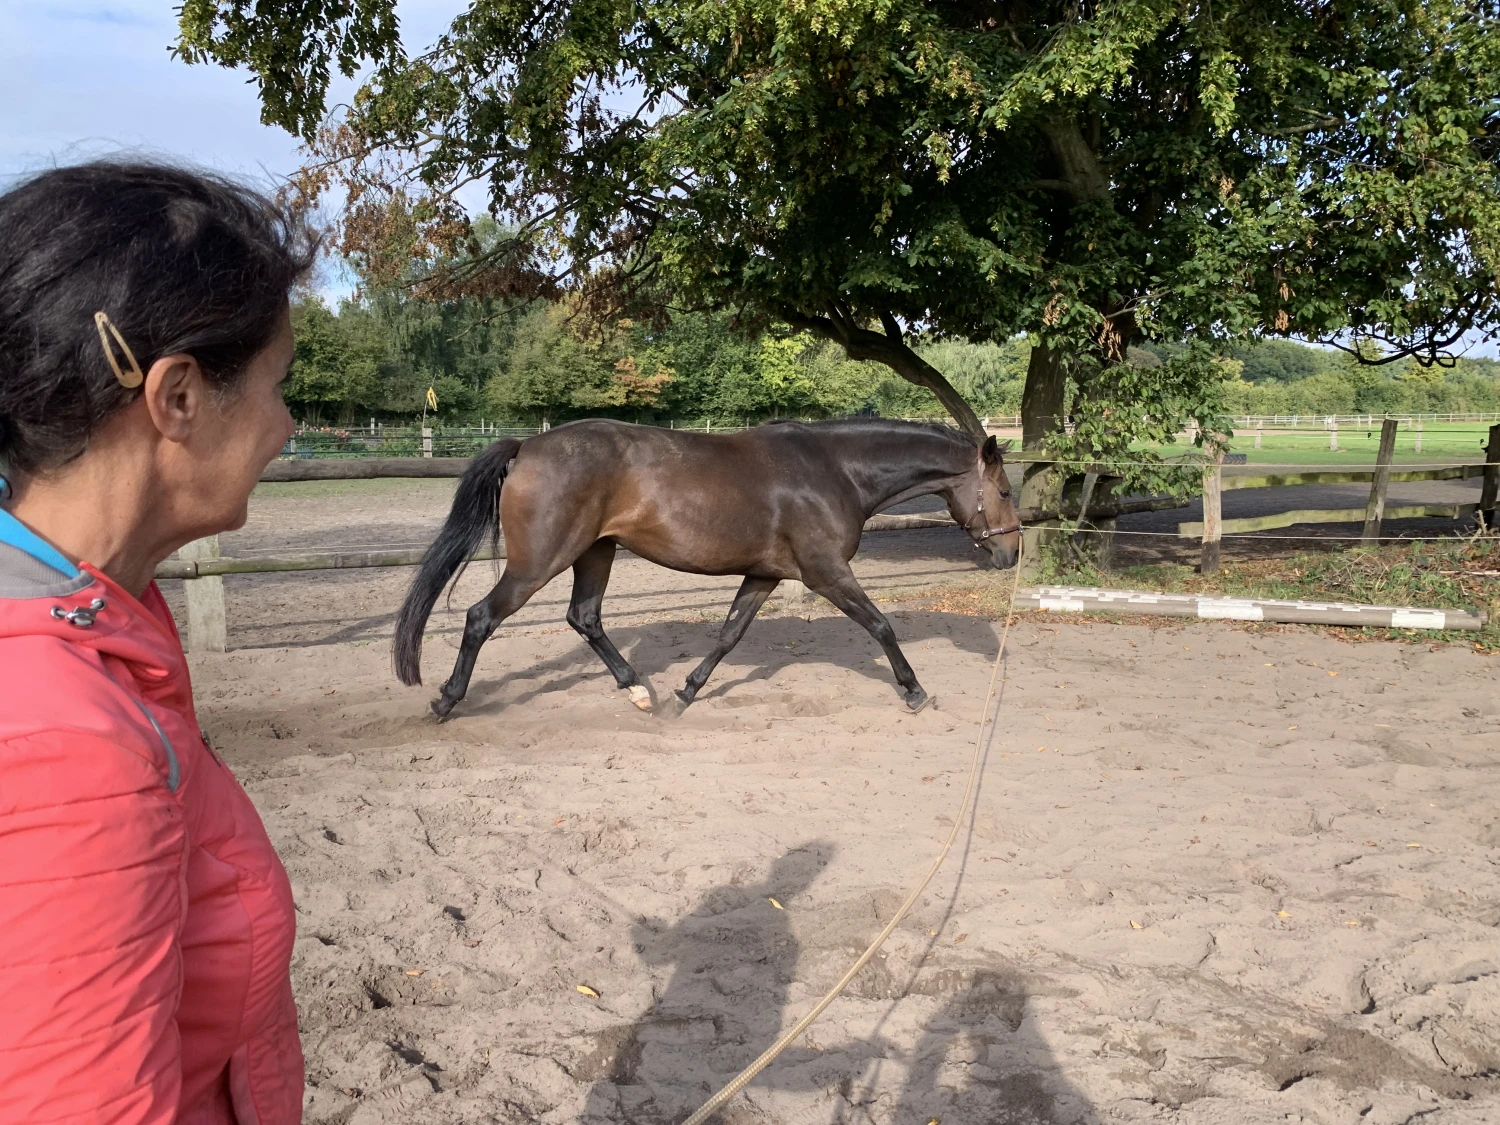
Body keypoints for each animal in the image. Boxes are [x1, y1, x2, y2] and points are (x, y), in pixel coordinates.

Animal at [390, 417, 1020, 723]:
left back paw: (638, 693)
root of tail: (527, 448)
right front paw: (915, 692)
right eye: (1006, 490)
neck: (833, 470)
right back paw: (446, 702)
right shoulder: (826, 573)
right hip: (540, 562)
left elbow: (728, 635)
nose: (1010, 554)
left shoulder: (764, 576)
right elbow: (881, 625)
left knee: (585, 618)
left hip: (596, 552)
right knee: (481, 617)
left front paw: (684, 694)